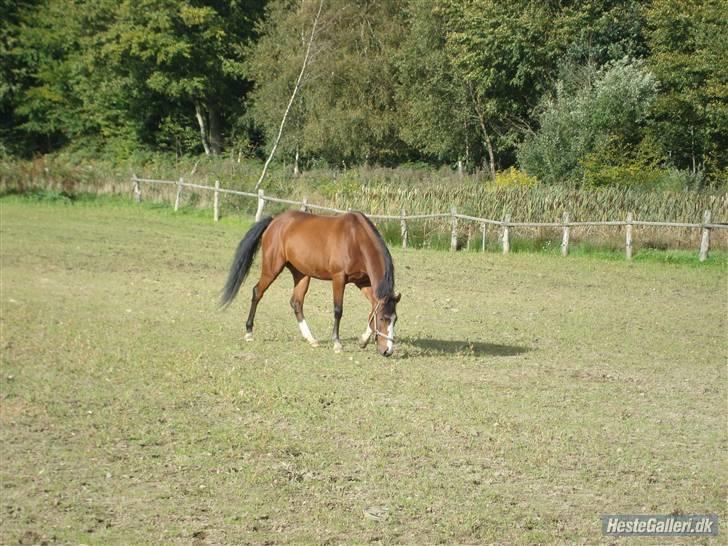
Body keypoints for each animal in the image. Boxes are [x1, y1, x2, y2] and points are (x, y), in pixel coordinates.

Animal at [222, 209, 404, 356]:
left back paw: (311, 339)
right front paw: (337, 343)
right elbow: (338, 310)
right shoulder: (339, 278)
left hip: (301, 274)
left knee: (296, 302)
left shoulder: (362, 281)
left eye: (395, 319)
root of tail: (274, 221)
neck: (356, 239)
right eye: (383, 319)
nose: (387, 351)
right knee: (257, 292)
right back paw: (249, 332)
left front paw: (363, 340)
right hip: (272, 268)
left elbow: (373, 307)